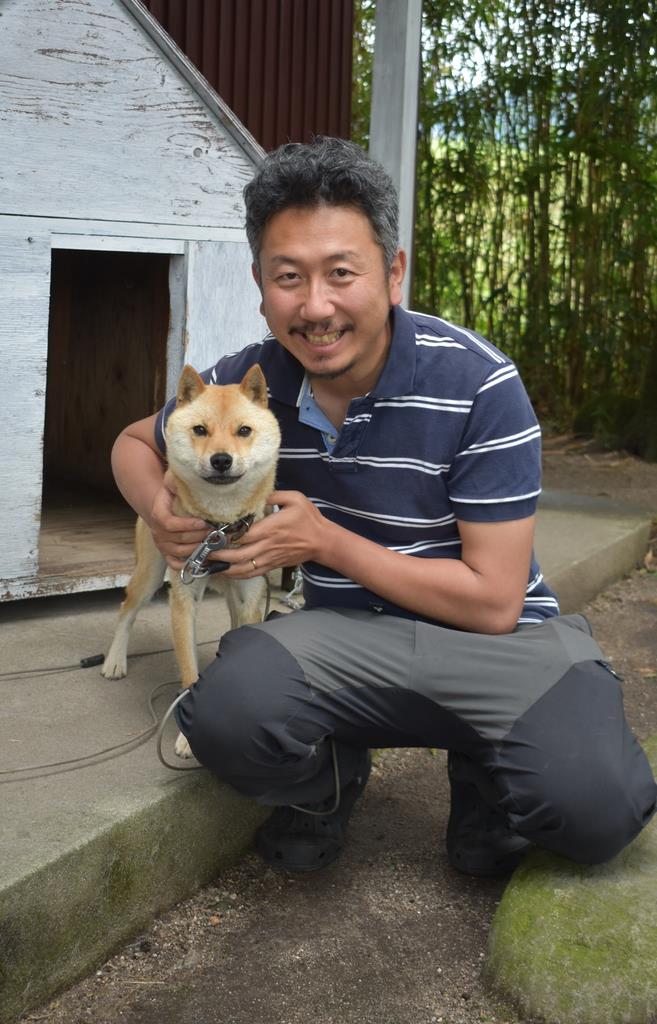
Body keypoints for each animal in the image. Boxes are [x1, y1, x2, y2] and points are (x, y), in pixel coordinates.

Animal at [101, 364, 280, 757]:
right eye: (200, 430)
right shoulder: (184, 594)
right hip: (150, 575)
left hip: (230, 596)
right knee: (125, 610)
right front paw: (187, 738)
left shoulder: (250, 595)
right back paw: (114, 661)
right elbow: (189, 673)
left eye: (244, 431)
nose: (221, 460)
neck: (221, 527)